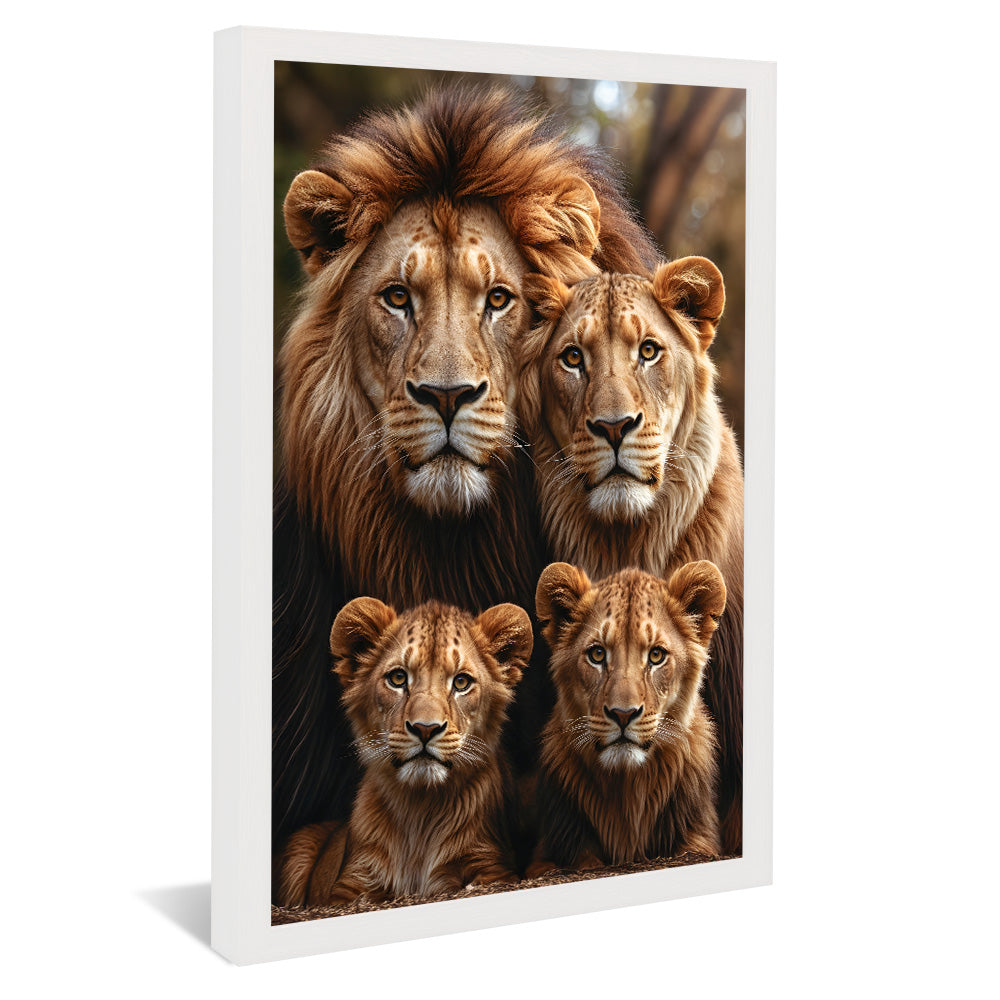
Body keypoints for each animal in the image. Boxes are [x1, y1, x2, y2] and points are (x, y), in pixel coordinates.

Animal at [276, 597, 533, 907]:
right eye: (398, 678)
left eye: (461, 682)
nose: (425, 728)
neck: (419, 808)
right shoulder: (352, 882)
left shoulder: (493, 867)